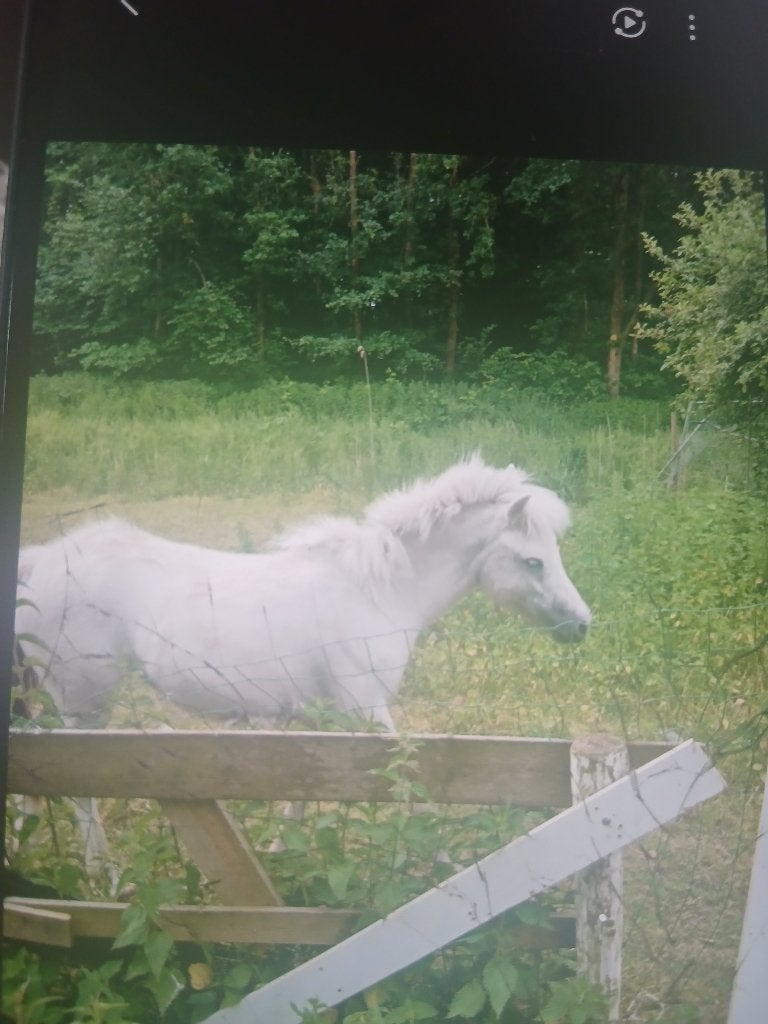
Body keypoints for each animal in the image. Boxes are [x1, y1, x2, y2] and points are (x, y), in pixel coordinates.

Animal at [14, 455, 591, 876]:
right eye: (534, 560)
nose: (581, 624)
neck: (379, 590)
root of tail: (41, 561)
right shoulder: (365, 710)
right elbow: (413, 791)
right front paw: (445, 865)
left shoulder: (321, 716)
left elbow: (302, 792)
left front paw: (280, 853)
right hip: (84, 704)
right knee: (81, 792)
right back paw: (104, 878)